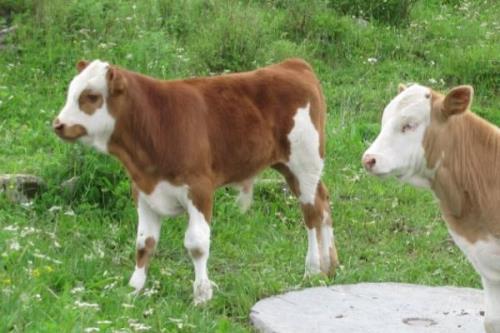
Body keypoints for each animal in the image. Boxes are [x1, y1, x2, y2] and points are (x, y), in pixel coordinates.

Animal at [51, 57, 340, 304]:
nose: (58, 124)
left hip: (304, 162)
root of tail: (293, 64)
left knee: (311, 213)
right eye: (70, 91)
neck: (156, 122)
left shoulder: (199, 189)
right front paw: (134, 288)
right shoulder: (144, 191)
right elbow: (144, 243)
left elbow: (197, 244)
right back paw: (330, 265)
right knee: (323, 201)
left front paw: (202, 294)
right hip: (291, 168)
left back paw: (312, 269)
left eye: (91, 96)